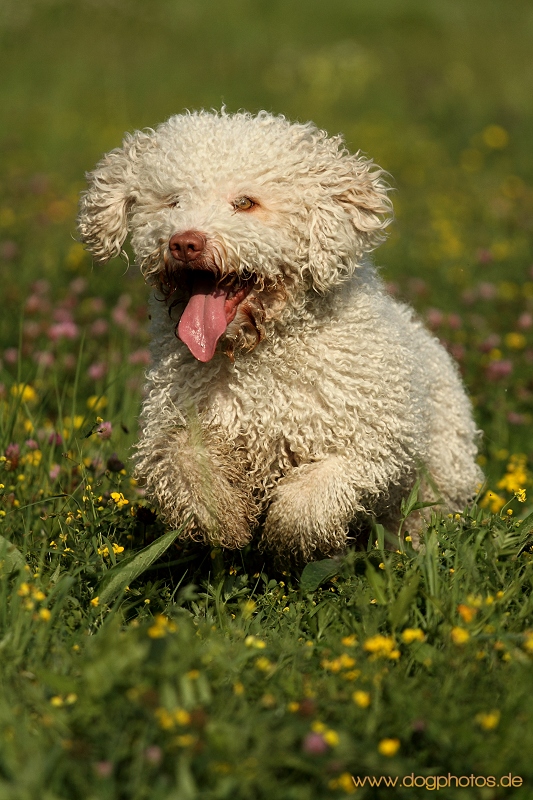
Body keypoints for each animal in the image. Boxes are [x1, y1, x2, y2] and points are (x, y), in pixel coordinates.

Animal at [79, 111, 482, 564]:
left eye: (245, 203)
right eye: (173, 201)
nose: (184, 242)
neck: (255, 353)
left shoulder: (372, 443)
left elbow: (310, 499)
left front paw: (289, 541)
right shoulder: (177, 424)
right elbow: (185, 465)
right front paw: (226, 520)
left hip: (439, 477)